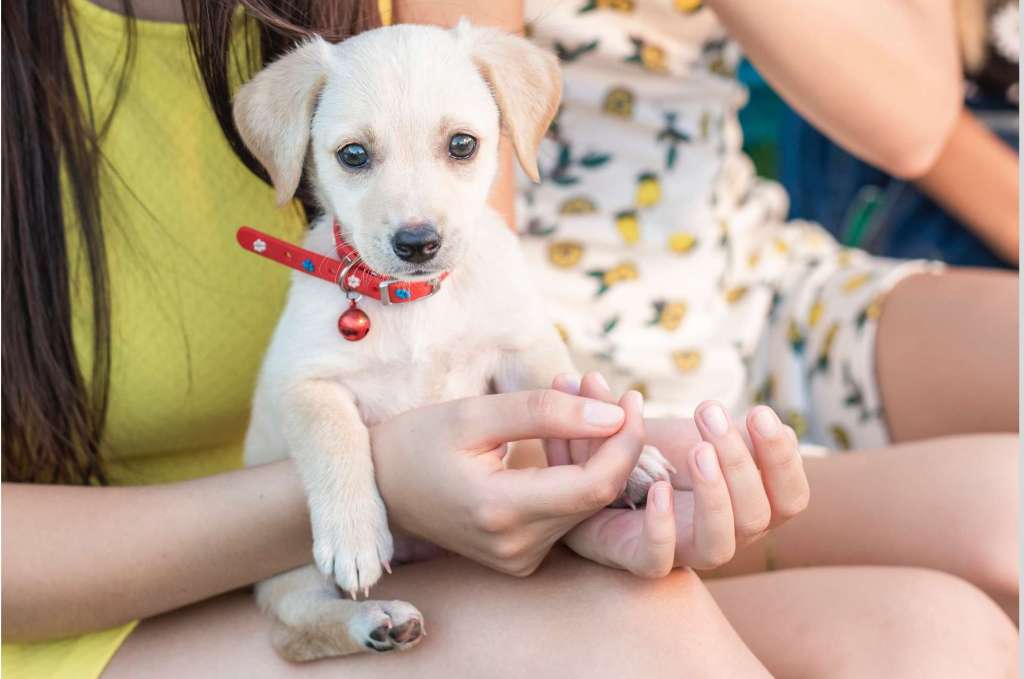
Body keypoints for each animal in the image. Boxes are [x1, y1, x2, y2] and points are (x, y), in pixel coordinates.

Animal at [234, 22, 671, 663]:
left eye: (462, 145)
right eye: (353, 155)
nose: (418, 243)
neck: (414, 302)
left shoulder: (519, 346)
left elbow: (572, 395)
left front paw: (634, 459)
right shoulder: (303, 380)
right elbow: (334, 437)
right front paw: (354, 533)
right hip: (287, 574)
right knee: (294, 629)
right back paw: (374, 621)